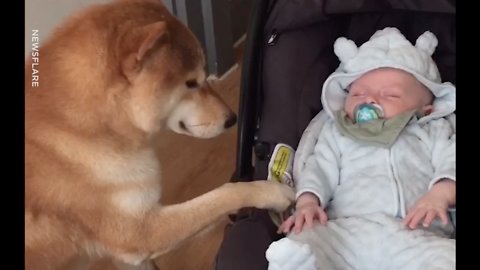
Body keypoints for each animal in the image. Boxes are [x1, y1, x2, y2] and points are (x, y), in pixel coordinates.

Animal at [25, 1, 296, 268]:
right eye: (190, 83)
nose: (232, 119)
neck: (90, 125)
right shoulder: (142, 232)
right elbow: (226, 193)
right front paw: (271, 192)